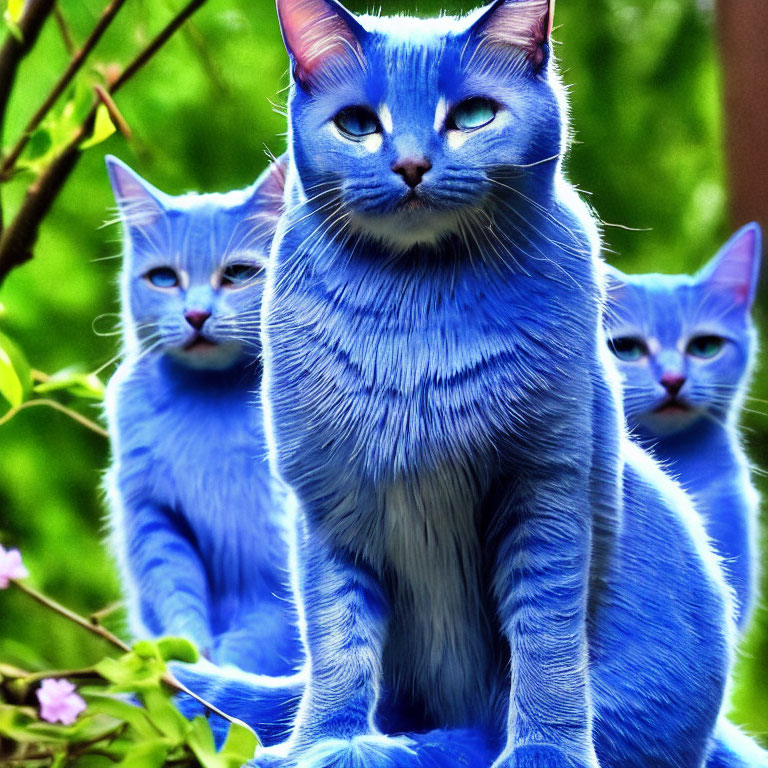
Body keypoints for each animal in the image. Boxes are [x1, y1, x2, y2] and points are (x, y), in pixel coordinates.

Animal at [103, 154, 302, 680]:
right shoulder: (155, 520)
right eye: (163, 279)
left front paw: (222, 676)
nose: (195, 315)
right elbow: (176, 593)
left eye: (238, 274)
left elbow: (268, 629)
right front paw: (184, 656)